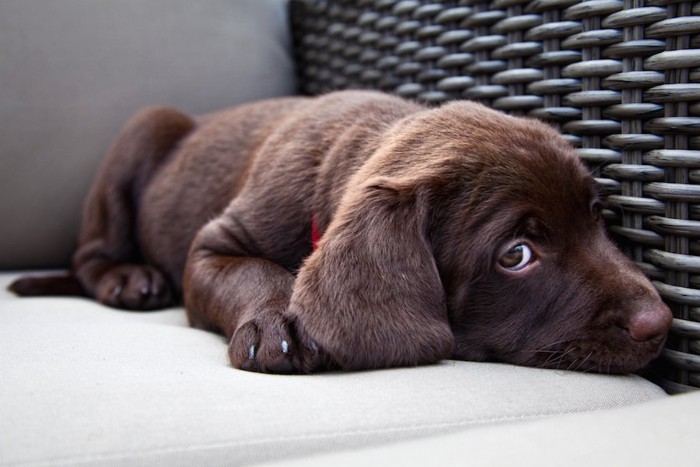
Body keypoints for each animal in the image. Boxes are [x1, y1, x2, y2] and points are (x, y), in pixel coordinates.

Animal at [6, 90, 672, 376]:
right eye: (517, 254)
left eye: (597, 217)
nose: (661, 323)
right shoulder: (211, 246)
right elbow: (254, 271)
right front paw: (274, 323)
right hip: (143, 130)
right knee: (90, 254)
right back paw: (129, 279)